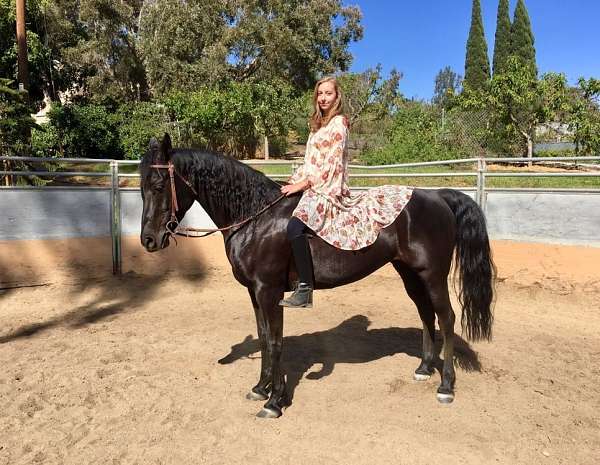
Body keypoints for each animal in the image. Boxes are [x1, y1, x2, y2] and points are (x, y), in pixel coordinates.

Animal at [139, 134, 492, 416]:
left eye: (158, 186)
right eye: (141, 189)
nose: (149, 241)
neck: (256, 217)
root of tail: (439, 196)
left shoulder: (269, 292)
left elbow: (276, 342)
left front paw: (275, 402)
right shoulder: (254, 293)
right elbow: (265, 338)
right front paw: (261, 388)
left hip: (432, 275)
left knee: (446, 318)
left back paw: (445, 386)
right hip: (410, 274)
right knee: (426, 314)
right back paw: (423, 369)